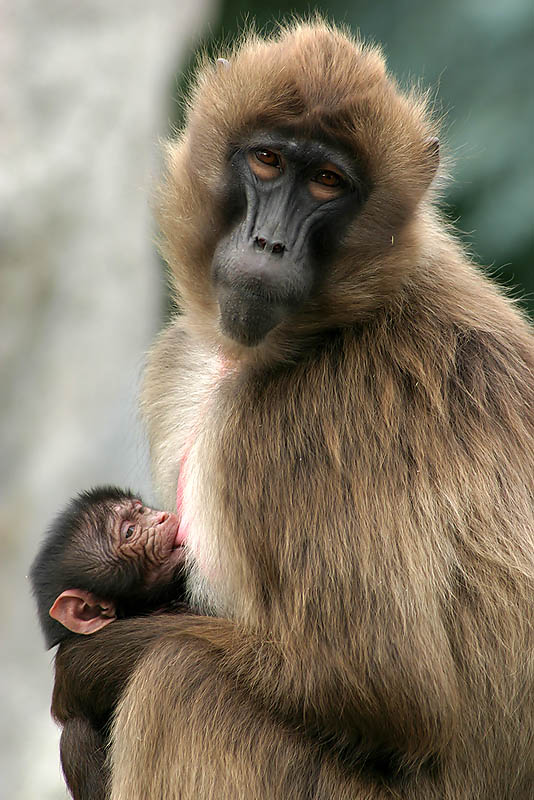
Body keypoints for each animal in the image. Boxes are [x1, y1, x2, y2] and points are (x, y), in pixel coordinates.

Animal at [53, 20, 534, 800]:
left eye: (327, 182)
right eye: (269, 160)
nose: (268, 243)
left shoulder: (293, 434)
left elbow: (381, 692)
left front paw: (87, 664)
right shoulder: (183, 363)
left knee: (176, 682)